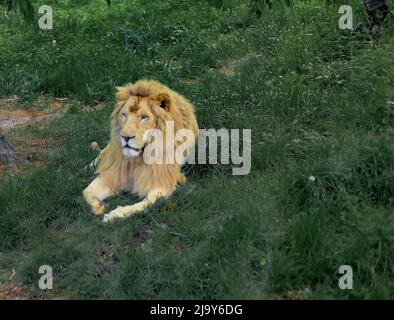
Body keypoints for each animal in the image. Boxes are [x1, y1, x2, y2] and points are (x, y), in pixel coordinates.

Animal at [83, 80, 200, 222]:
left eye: (144, 117)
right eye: (124, 115)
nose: (125, 137)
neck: (137, 159)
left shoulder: (163, 182)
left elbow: (145, 204)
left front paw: (114, 215)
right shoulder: (115, 173)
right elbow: (86, 191)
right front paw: (99, 206)